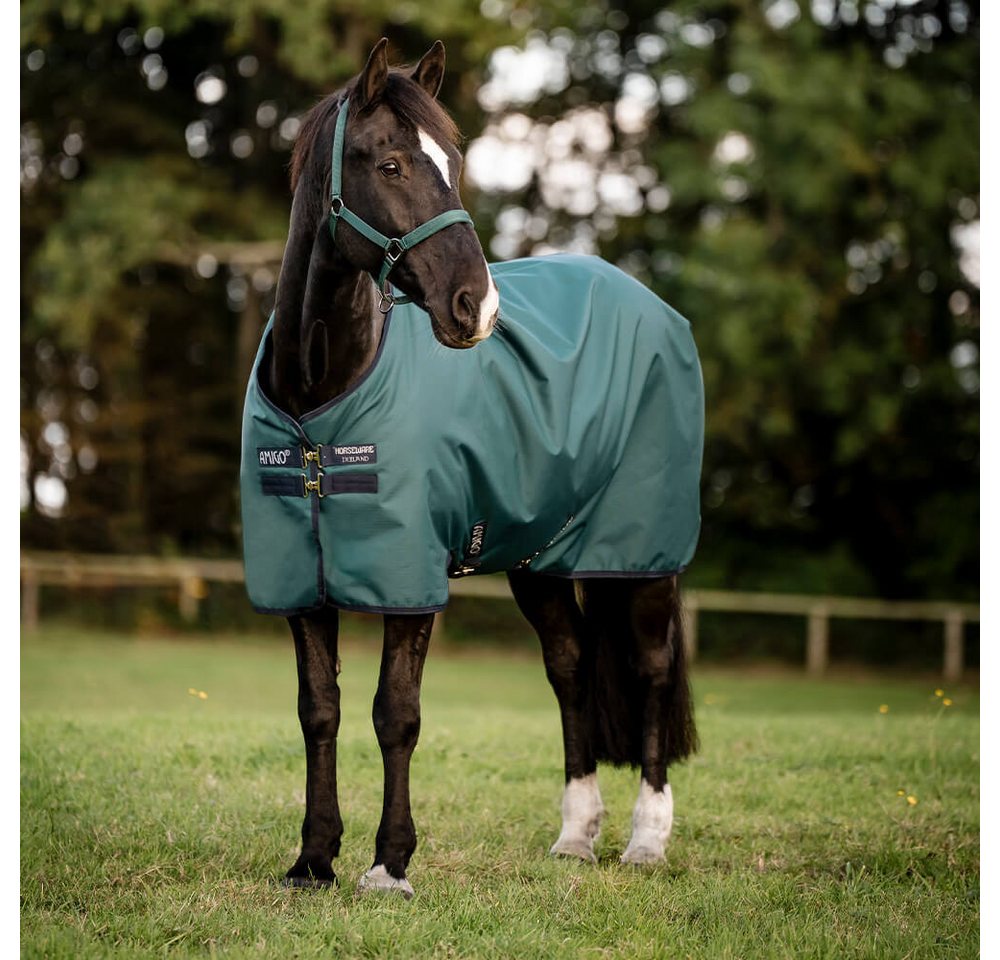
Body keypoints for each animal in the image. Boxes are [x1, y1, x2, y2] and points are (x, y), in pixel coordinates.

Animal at [240, 37, 701, 898]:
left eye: (453, 162)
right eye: (389, 163)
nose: (476, 308)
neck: (322, 397)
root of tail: (651, 304)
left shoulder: (409, 576)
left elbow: (396, 713)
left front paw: (390, 864)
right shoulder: (299, 582)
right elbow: (319, 710)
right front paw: (314, 859)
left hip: (643, 555)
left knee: (652, 670)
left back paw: (646, 839)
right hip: (540, 559)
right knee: (570, 667)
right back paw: (575, 836)